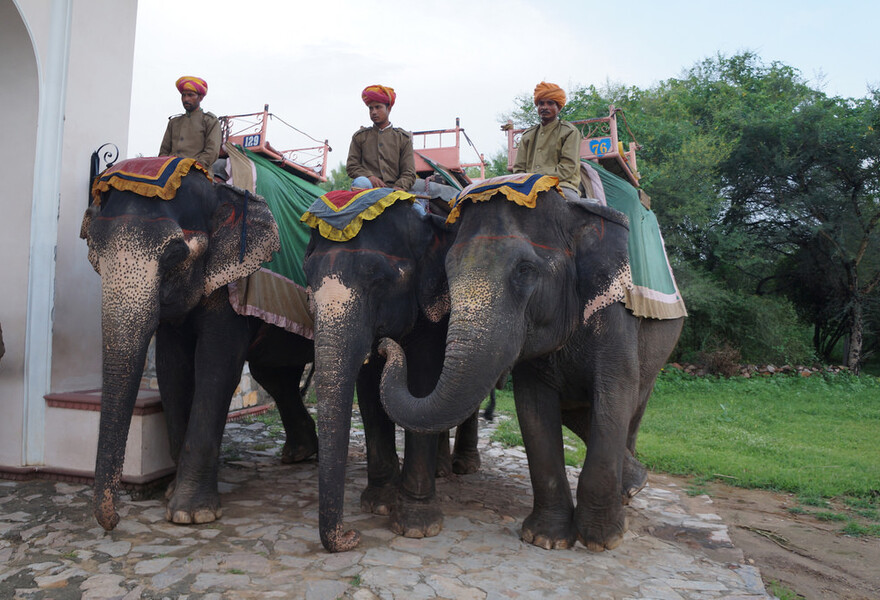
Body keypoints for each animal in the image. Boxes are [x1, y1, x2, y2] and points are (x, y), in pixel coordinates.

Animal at [81, 166, 318, 532]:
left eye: (174, 255)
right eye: (94, 250)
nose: (115, 519)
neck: (216, 188)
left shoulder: (233, 283)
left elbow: (217, 366)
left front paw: (191, 514)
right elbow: (171, 369)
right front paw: (171, 494)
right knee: (276, 374)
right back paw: (299, 453)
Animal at [378, 184, 680, 552]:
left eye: (524, 270)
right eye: (448, 270)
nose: (384, 345)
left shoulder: (615, 313)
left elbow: (613, 395)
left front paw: (602, 540)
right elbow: (534, 409)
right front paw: (546, 539)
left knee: (632, 408)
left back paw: (630, 490)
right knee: (579, 410)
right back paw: (633, 483)